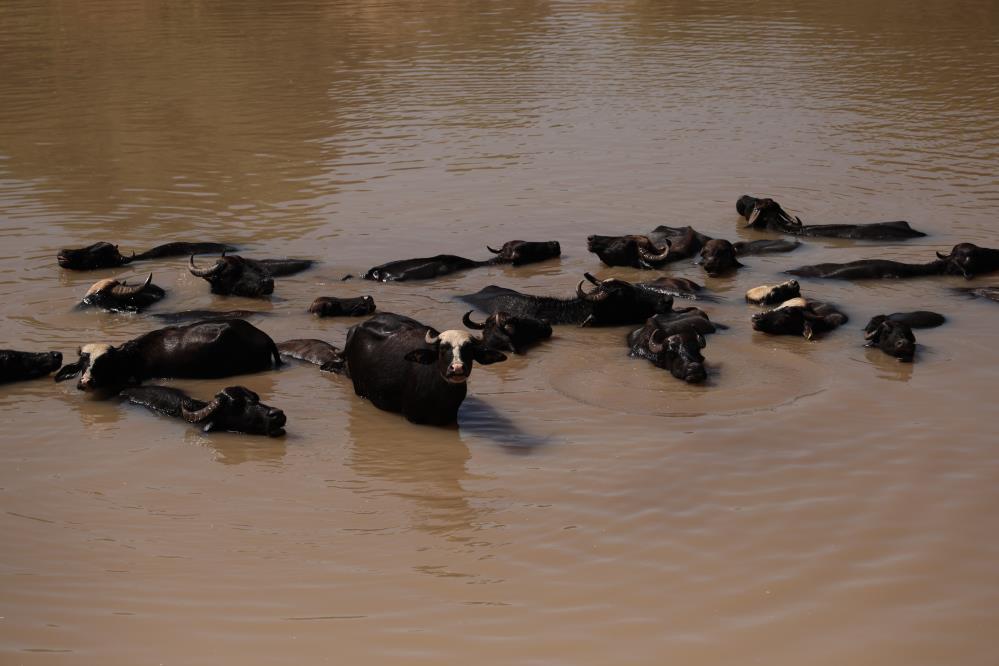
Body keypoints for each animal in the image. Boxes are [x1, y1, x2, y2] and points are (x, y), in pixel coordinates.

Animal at [344, 312, 508, 426]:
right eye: (442, 348)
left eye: (469, 350)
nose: (457, 368)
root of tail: (356, 328)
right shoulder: (412, 416)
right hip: (359, 388)